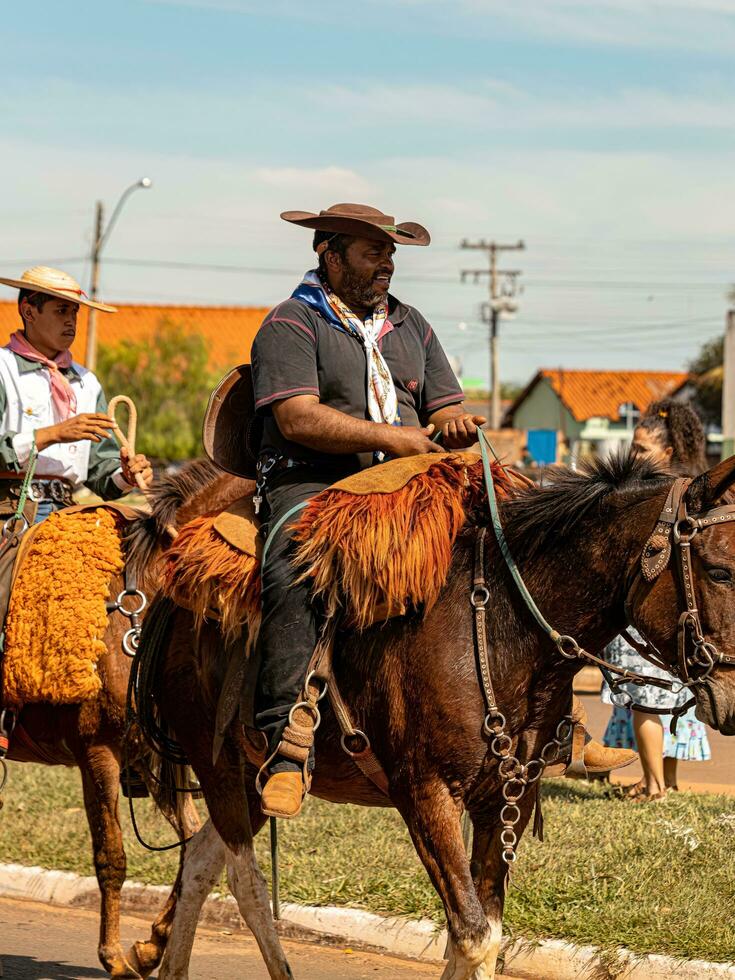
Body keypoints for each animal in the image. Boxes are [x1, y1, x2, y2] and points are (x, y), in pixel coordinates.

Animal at [1, 560, 200, 980]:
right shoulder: (97, 751)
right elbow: (111, 856)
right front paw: (114, 958)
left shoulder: (153, 757)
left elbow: (195, 841)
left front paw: (151, 948)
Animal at [129, 454, 735, 980]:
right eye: (722, 571)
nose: (730, 695)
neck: (500, 629)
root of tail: (174, 601)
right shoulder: (426, 793)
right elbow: (473, 934)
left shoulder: (508, 797)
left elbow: (484, 934)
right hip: (220, 767)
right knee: (244, 877)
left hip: (251, 780)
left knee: (201, 857)